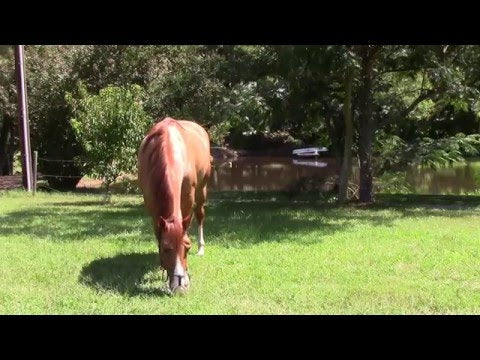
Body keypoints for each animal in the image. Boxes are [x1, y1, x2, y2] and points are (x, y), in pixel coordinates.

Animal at [138, 118, 211, 296]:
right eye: (165, 249)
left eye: (187, 246)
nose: (180, 287)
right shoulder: (151, 204)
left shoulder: (188, 195)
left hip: (202, 189)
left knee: (200, 215)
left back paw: (201, 248)